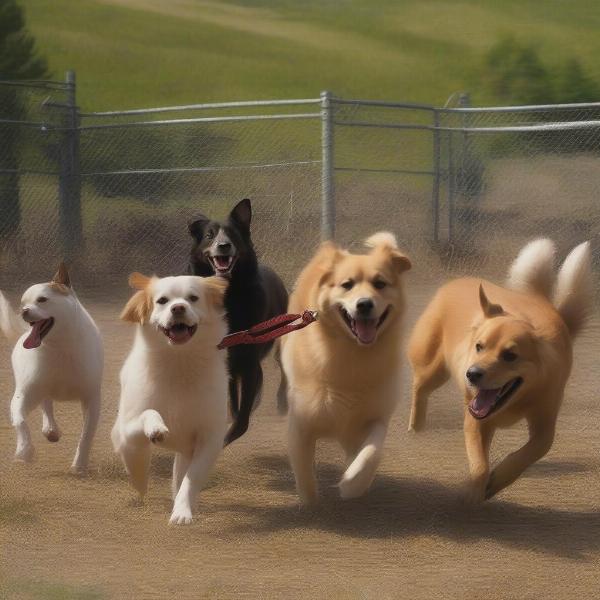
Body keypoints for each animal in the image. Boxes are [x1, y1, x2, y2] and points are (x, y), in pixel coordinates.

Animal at [0, 264, 103, 476]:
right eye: (23, 302)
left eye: (42, 300)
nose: (23, 311)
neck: (59, 347)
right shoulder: (24, 395)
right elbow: (20, 422)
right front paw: (24, 451)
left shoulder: (91, 400)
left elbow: (86, 436)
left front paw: (79, 465)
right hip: (39, 390)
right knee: (46, 405)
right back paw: (50, 430)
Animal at [111, 272, 229, 524]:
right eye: (162, 301)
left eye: (193, 298)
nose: (178, 308)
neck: (179, 361)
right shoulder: (127, 428)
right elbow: (147, 417)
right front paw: (156, 428)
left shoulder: (209, 440)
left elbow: (190, 480)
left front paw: (182, 510)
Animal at [189, 198, 290, 446]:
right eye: (209, 235)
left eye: (233, 234)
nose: (223, 246)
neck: (229, 295)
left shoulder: (249, 359)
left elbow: (241, 421)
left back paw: (281, 402)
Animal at [282, 232, 412, 504]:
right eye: (347, 284)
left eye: (380, 284)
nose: (364, 304)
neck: (352, 353)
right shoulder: (301, 423)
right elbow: (303, 468)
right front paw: (310, 500)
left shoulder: (374, 417)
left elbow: (371, 452)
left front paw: (352, 483)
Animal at [408, 239, 592, 502]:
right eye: (479, 346)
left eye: (510, 356)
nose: (471, 375)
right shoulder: (475, 420)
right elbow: (479, 467)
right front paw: (474, 495)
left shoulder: (545, 422)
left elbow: (531, 451)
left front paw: (497, 481)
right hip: (433, 368)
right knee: (419, 388)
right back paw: (416, 428)